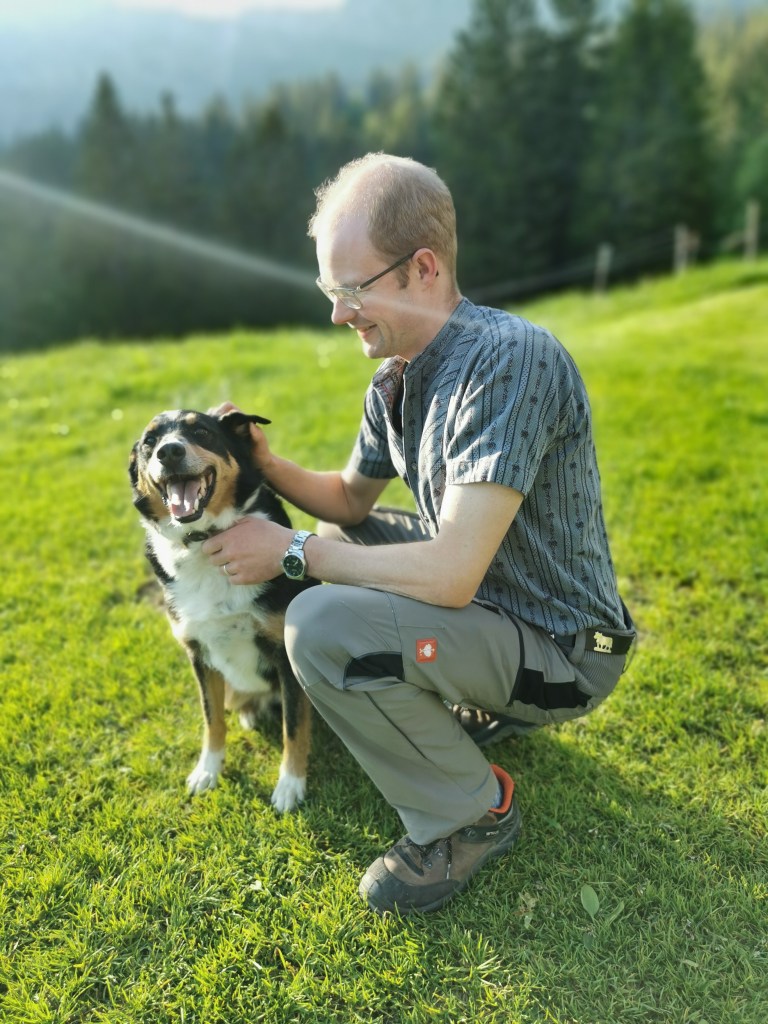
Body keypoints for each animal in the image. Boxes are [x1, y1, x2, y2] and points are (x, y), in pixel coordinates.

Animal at [129, 408, 316, 812]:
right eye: (150, 441)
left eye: (201, 431)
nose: (169, 452)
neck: (206, 540)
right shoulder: (198, 654)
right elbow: (211, 717)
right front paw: (207, 771)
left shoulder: (285, 652)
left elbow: (294, 727)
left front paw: (290, 785)